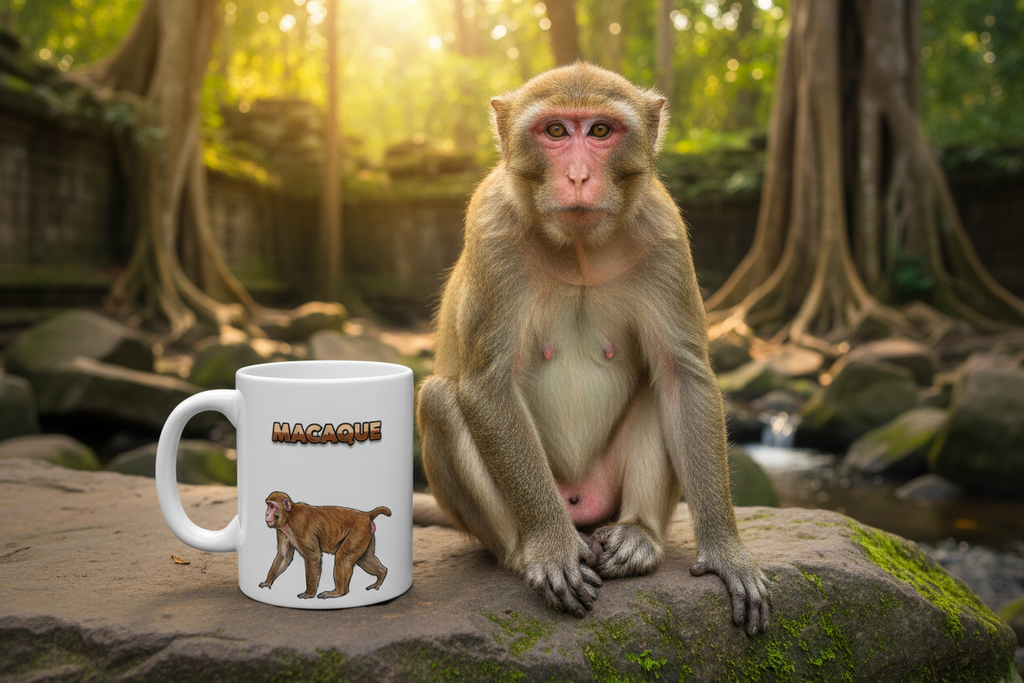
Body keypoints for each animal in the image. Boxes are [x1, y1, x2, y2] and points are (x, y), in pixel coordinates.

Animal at [259, 491, 390, 599]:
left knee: (343, 557)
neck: (289, 516)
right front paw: (268, 582)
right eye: (268, 505)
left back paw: (339, 592)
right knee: (365, 558)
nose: (266, 514)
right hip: (365, 534)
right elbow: (284, 556)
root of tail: (366, 515)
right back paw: (382, 573)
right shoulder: (281, 530)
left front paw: (309, 593)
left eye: (272, 506)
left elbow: (313, 557)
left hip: (358, 532)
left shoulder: (300, 525)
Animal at [416, 62, 770, 634]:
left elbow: (683, 376)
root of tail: (582, 507)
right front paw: (551, 549)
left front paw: (726, 552)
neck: (580, 249)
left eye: (601, 131)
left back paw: (638, 536)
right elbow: (487, 385)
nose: (579, 177)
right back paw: (525, 551)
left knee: (658, 385)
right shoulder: (490, 230)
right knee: (441, 400)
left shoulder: (665, 234)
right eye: (557, 131)